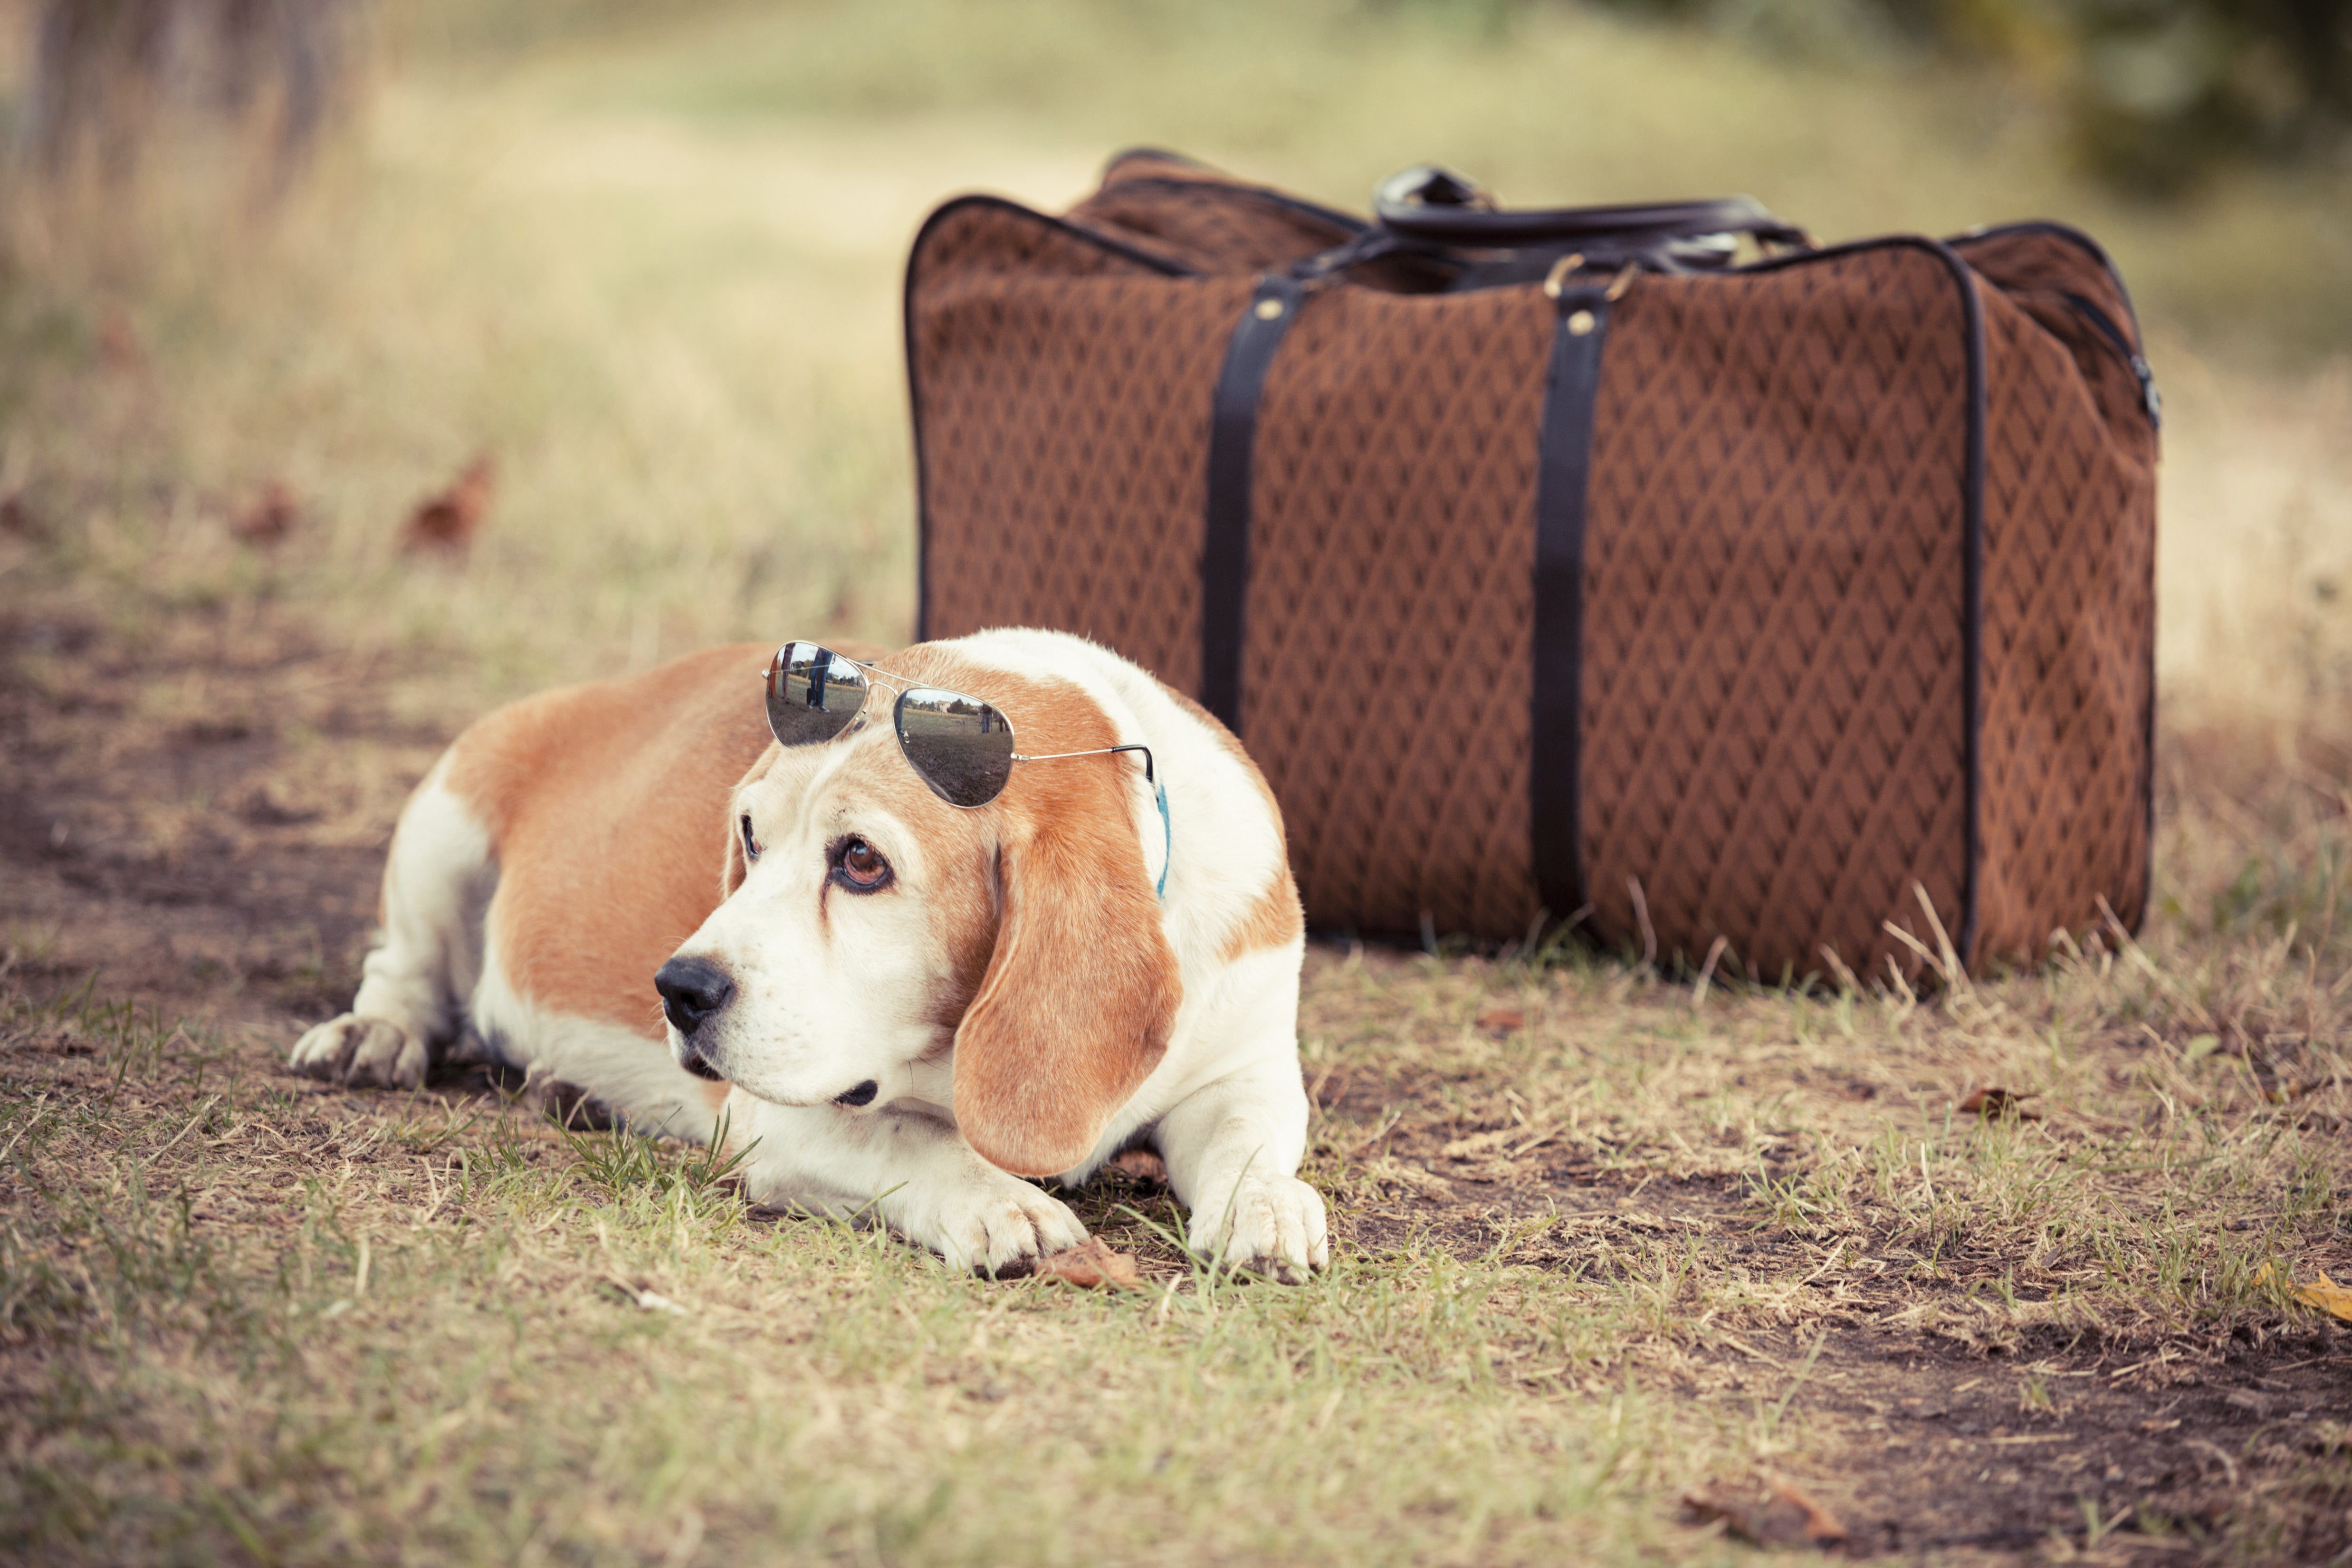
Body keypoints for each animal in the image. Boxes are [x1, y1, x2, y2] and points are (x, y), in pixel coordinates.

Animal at [280, 630, 1326, 1279]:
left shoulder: (1245, 1065)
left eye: (861, 861)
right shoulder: (774, 1120)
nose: (676, 990)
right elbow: (910, 1135)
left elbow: (1248, 1137)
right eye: (749, 834)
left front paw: (1266, 1205)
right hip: (445, 818)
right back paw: (373, 1037)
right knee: (404, 973)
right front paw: (1001, 1203)